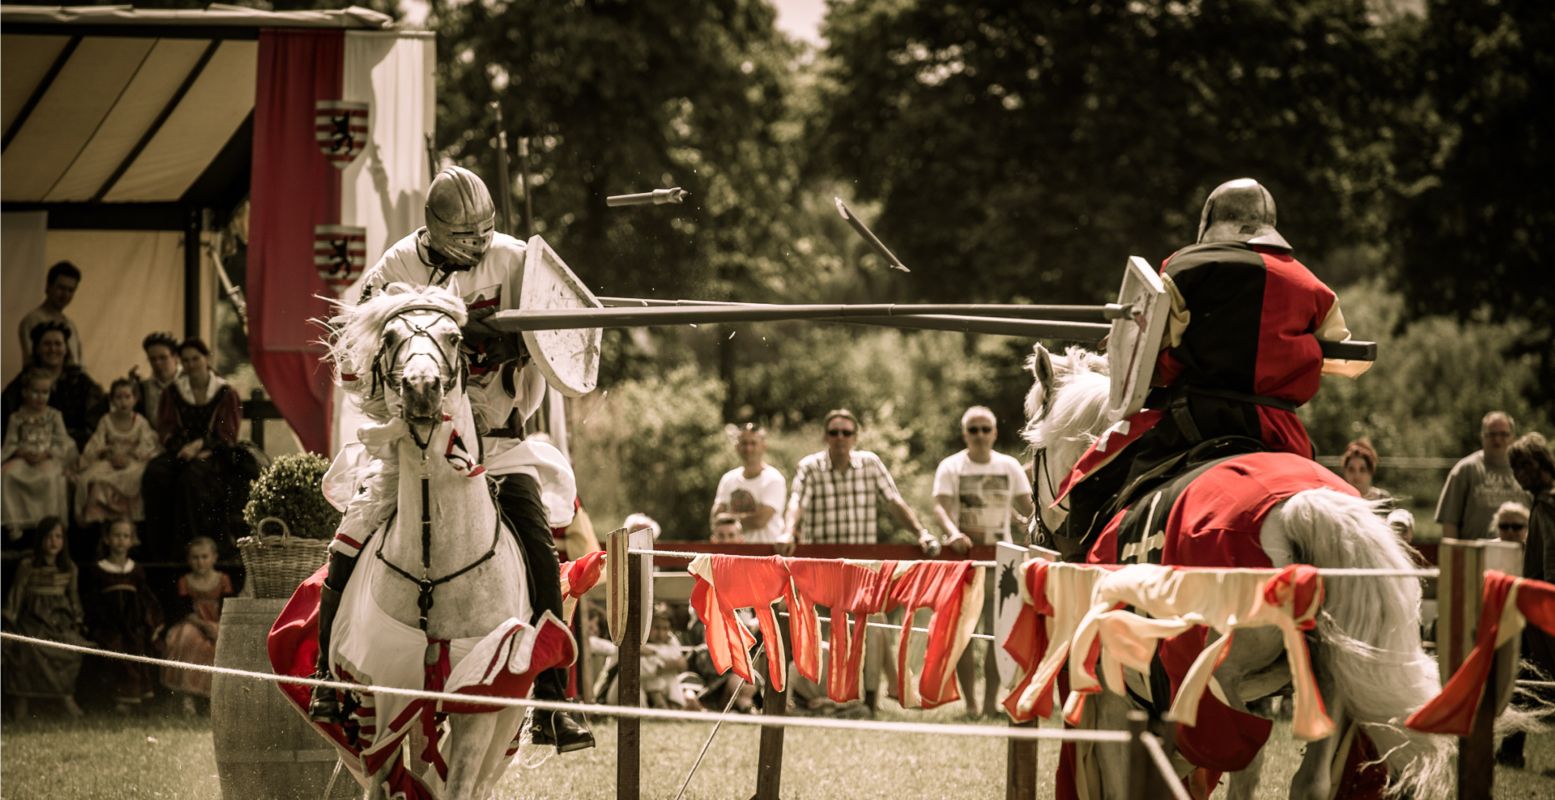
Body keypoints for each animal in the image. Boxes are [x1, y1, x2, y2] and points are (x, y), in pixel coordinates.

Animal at [328, 286, 541, 796]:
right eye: (388, 336)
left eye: (454, 336)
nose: (421, 387)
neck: (433, 563)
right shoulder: (381, 698)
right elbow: (381, 783)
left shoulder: (477, 706)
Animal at [1020, 343, 1443, 796]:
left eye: (1033, 454)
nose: (1034, 529)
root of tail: (1297, 507)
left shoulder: (1117, 699)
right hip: (1325, 684)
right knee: (1304, 780)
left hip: (1215, 681)